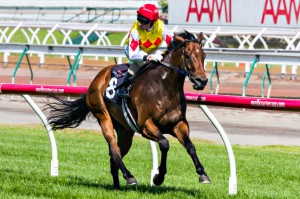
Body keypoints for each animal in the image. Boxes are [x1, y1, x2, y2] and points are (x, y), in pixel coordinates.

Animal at [47, 30, 211, 189]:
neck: (165, 88)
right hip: (103, 116)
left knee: (116, 154)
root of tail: (97, 79)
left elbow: (190, 146)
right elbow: (164, 144)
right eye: (188, 56)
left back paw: (117, 186)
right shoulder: (145, 125)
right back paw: (129, 176)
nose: (201, 81)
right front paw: (158, 177)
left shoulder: (179, 124)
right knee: (114, 150)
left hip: (125, 131)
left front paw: (203, 174)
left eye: (204, 55)